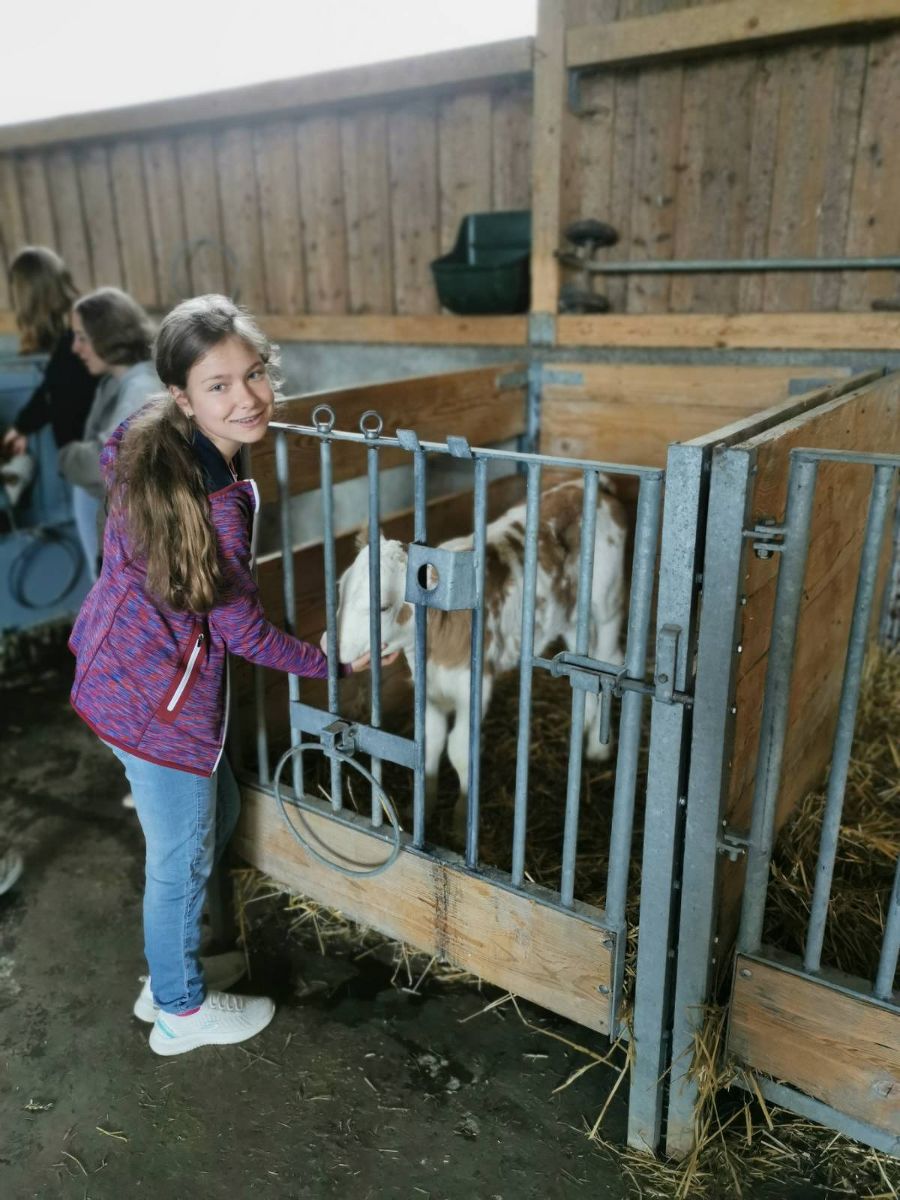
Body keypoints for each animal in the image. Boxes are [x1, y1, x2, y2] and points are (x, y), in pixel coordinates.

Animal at [333, 475, 628, 825]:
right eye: (340, 588)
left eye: (382, 607)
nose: (329, 645)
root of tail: (585, 485)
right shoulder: (428, 686)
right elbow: (430, 742)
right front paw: (423, 809)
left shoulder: (473, 685)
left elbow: (461, 750)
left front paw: (462, 820)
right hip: (570, 617)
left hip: (608, 603)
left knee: (608, 663)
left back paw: (598, 749)